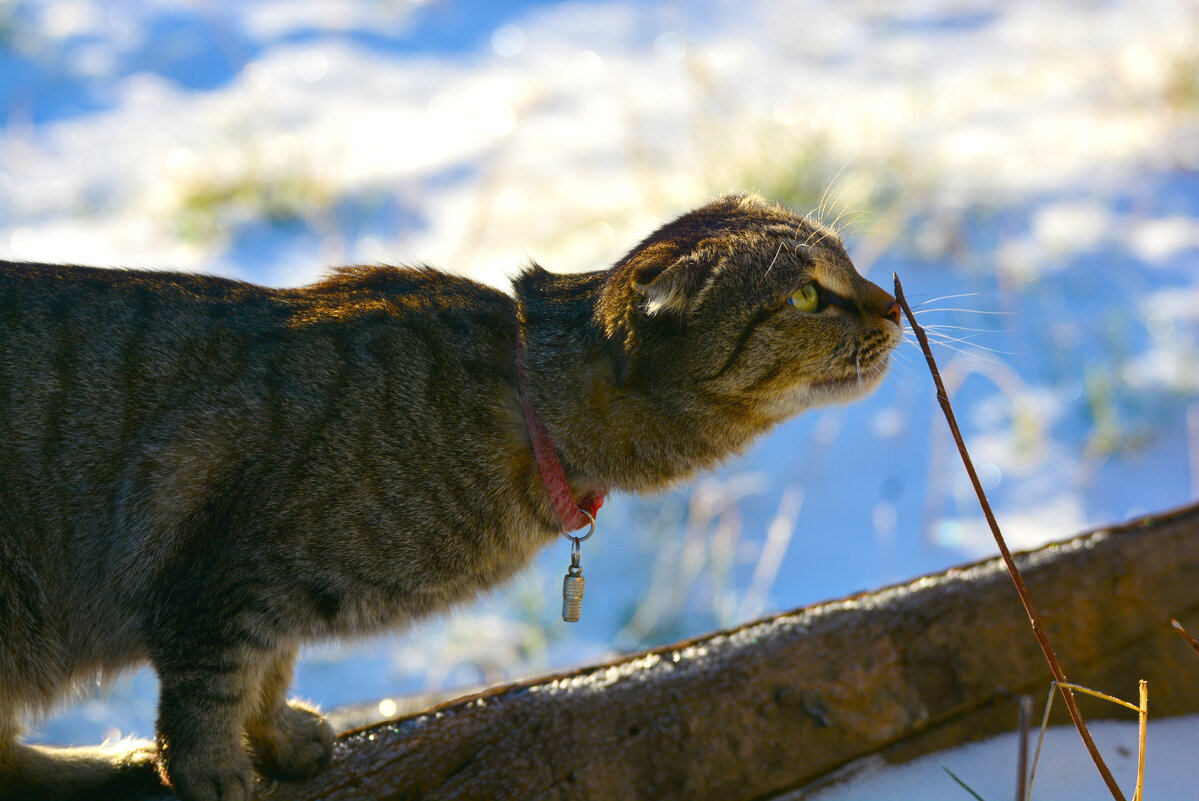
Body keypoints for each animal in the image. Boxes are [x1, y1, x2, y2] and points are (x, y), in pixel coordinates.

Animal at [0, 195, 901, 801]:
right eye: (805, 296)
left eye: (850, 265)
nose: (895, 302)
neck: (528, 398)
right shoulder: (219, 574)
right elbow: (210, 688)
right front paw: (214, 768)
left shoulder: (260, 597)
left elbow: (267, 668)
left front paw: (276, 734)